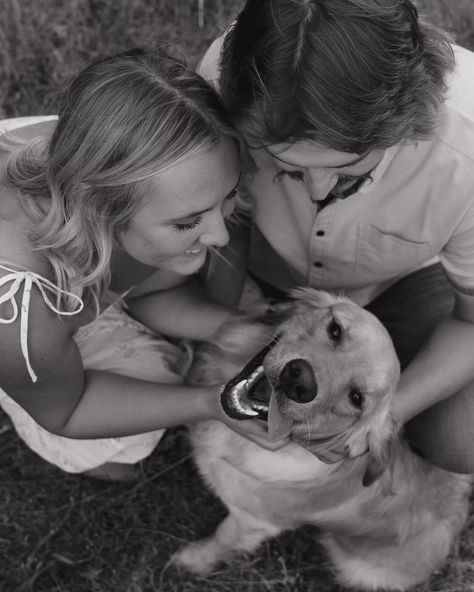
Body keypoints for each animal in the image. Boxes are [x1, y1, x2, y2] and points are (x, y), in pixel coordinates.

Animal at [173, 290, 470, 588]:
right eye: (335, 329)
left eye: (356, 398)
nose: (299, 381)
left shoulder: (253, 521)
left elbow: (222, 538)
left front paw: (194, 559)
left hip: (358, 567)